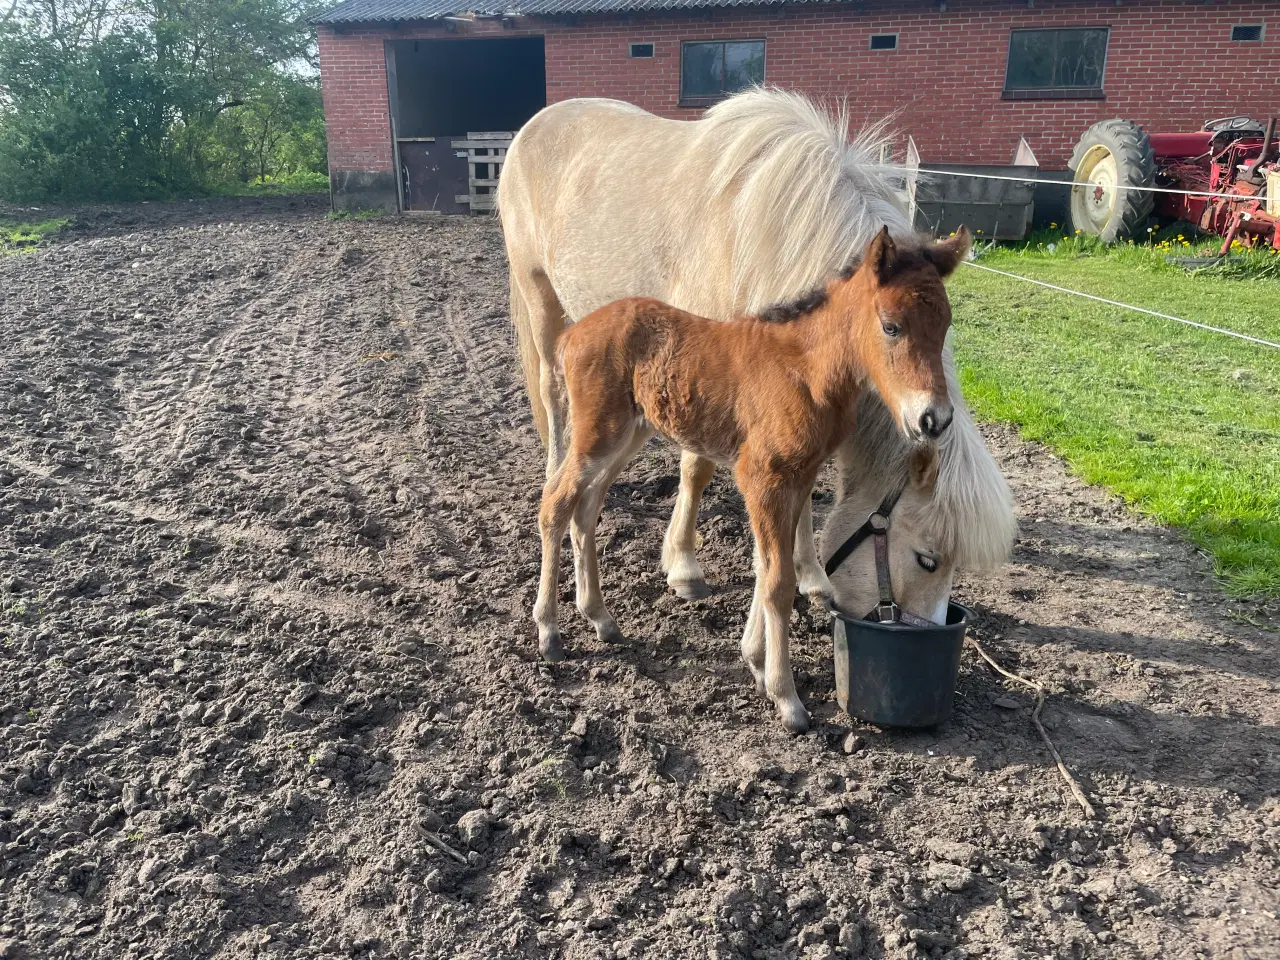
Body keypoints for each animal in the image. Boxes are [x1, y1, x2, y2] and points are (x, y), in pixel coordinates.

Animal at [499, 86, 1018, 634]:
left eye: (944, 326)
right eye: (927, 559)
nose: (934, 419)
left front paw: (810, 575)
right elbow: (697, 467)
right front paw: (684, 566)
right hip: (541, 301)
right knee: (554, 401)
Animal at [532, 227, 967, 737]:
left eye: (945, 326)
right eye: (892, 326)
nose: (933, 419)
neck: (807, 372)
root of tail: (572, 333)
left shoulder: (799, 477)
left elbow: (766, 566)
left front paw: (756, 663)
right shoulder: (762, 476)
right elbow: (779, 580)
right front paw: (786, 698)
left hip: (628, 433)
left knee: (586, 508)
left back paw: (601, 618)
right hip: (597, 434)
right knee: (556, 503)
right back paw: (549, 632)